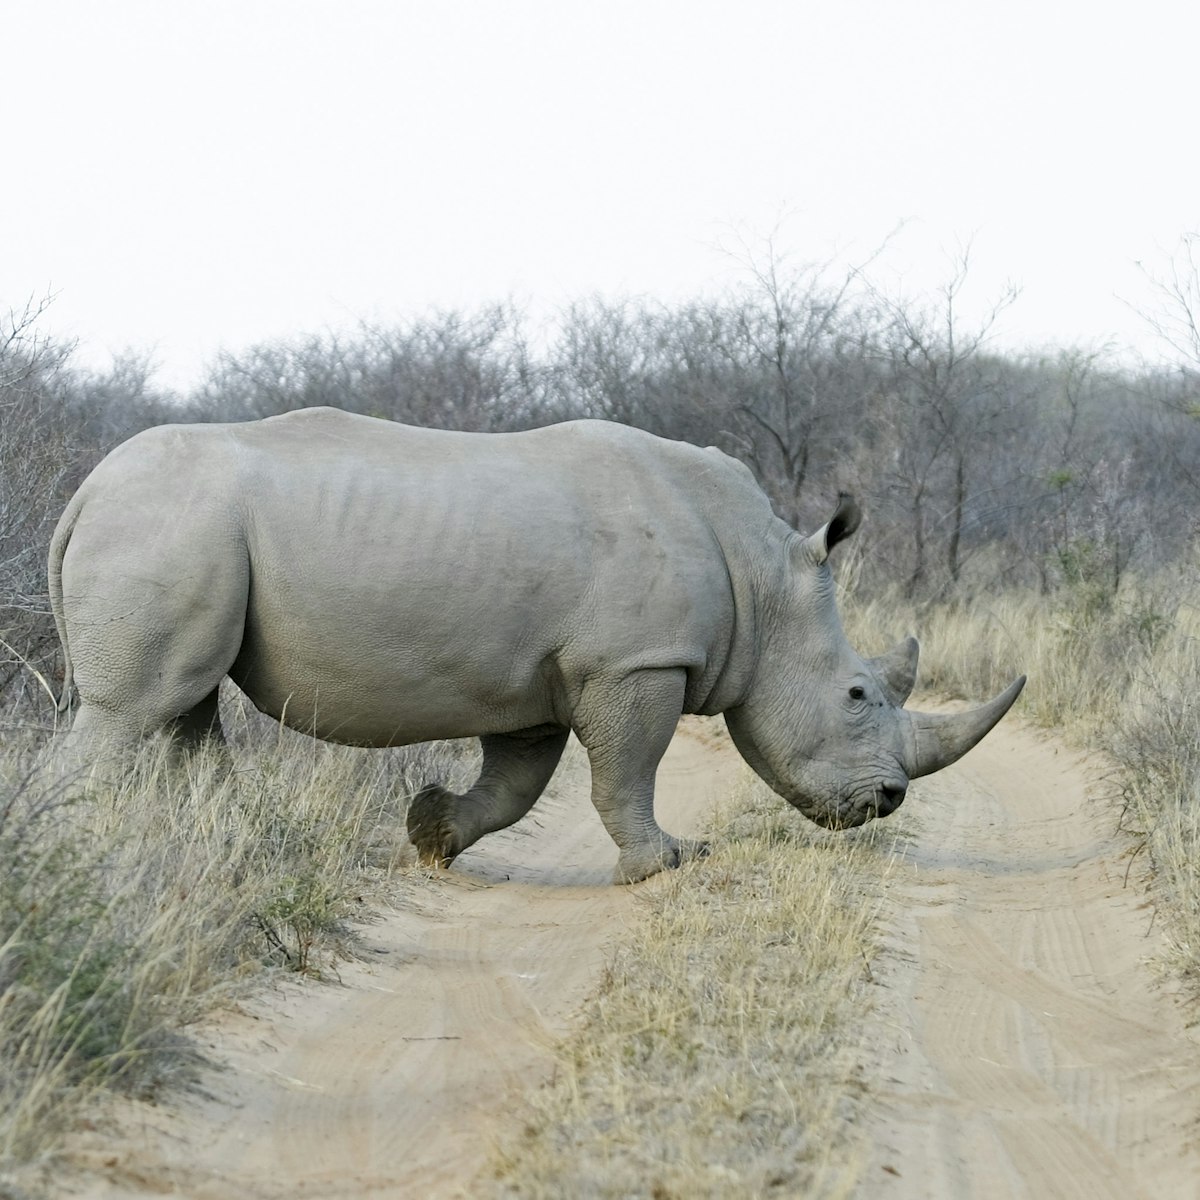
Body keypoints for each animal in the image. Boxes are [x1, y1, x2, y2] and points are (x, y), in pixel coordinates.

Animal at [48, 407, 1024, 883]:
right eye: (858, 695)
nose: (890, 801)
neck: (763, 573)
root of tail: (84, 492)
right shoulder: (635, 660)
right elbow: (629, 770)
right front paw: (665, 865)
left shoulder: (541, 678)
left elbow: (515, 786)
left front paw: (433, 834)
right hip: (168, 525)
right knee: (131, 710)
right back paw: (81, 856)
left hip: (178, 527)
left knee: (184, 707)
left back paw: (229, 846)